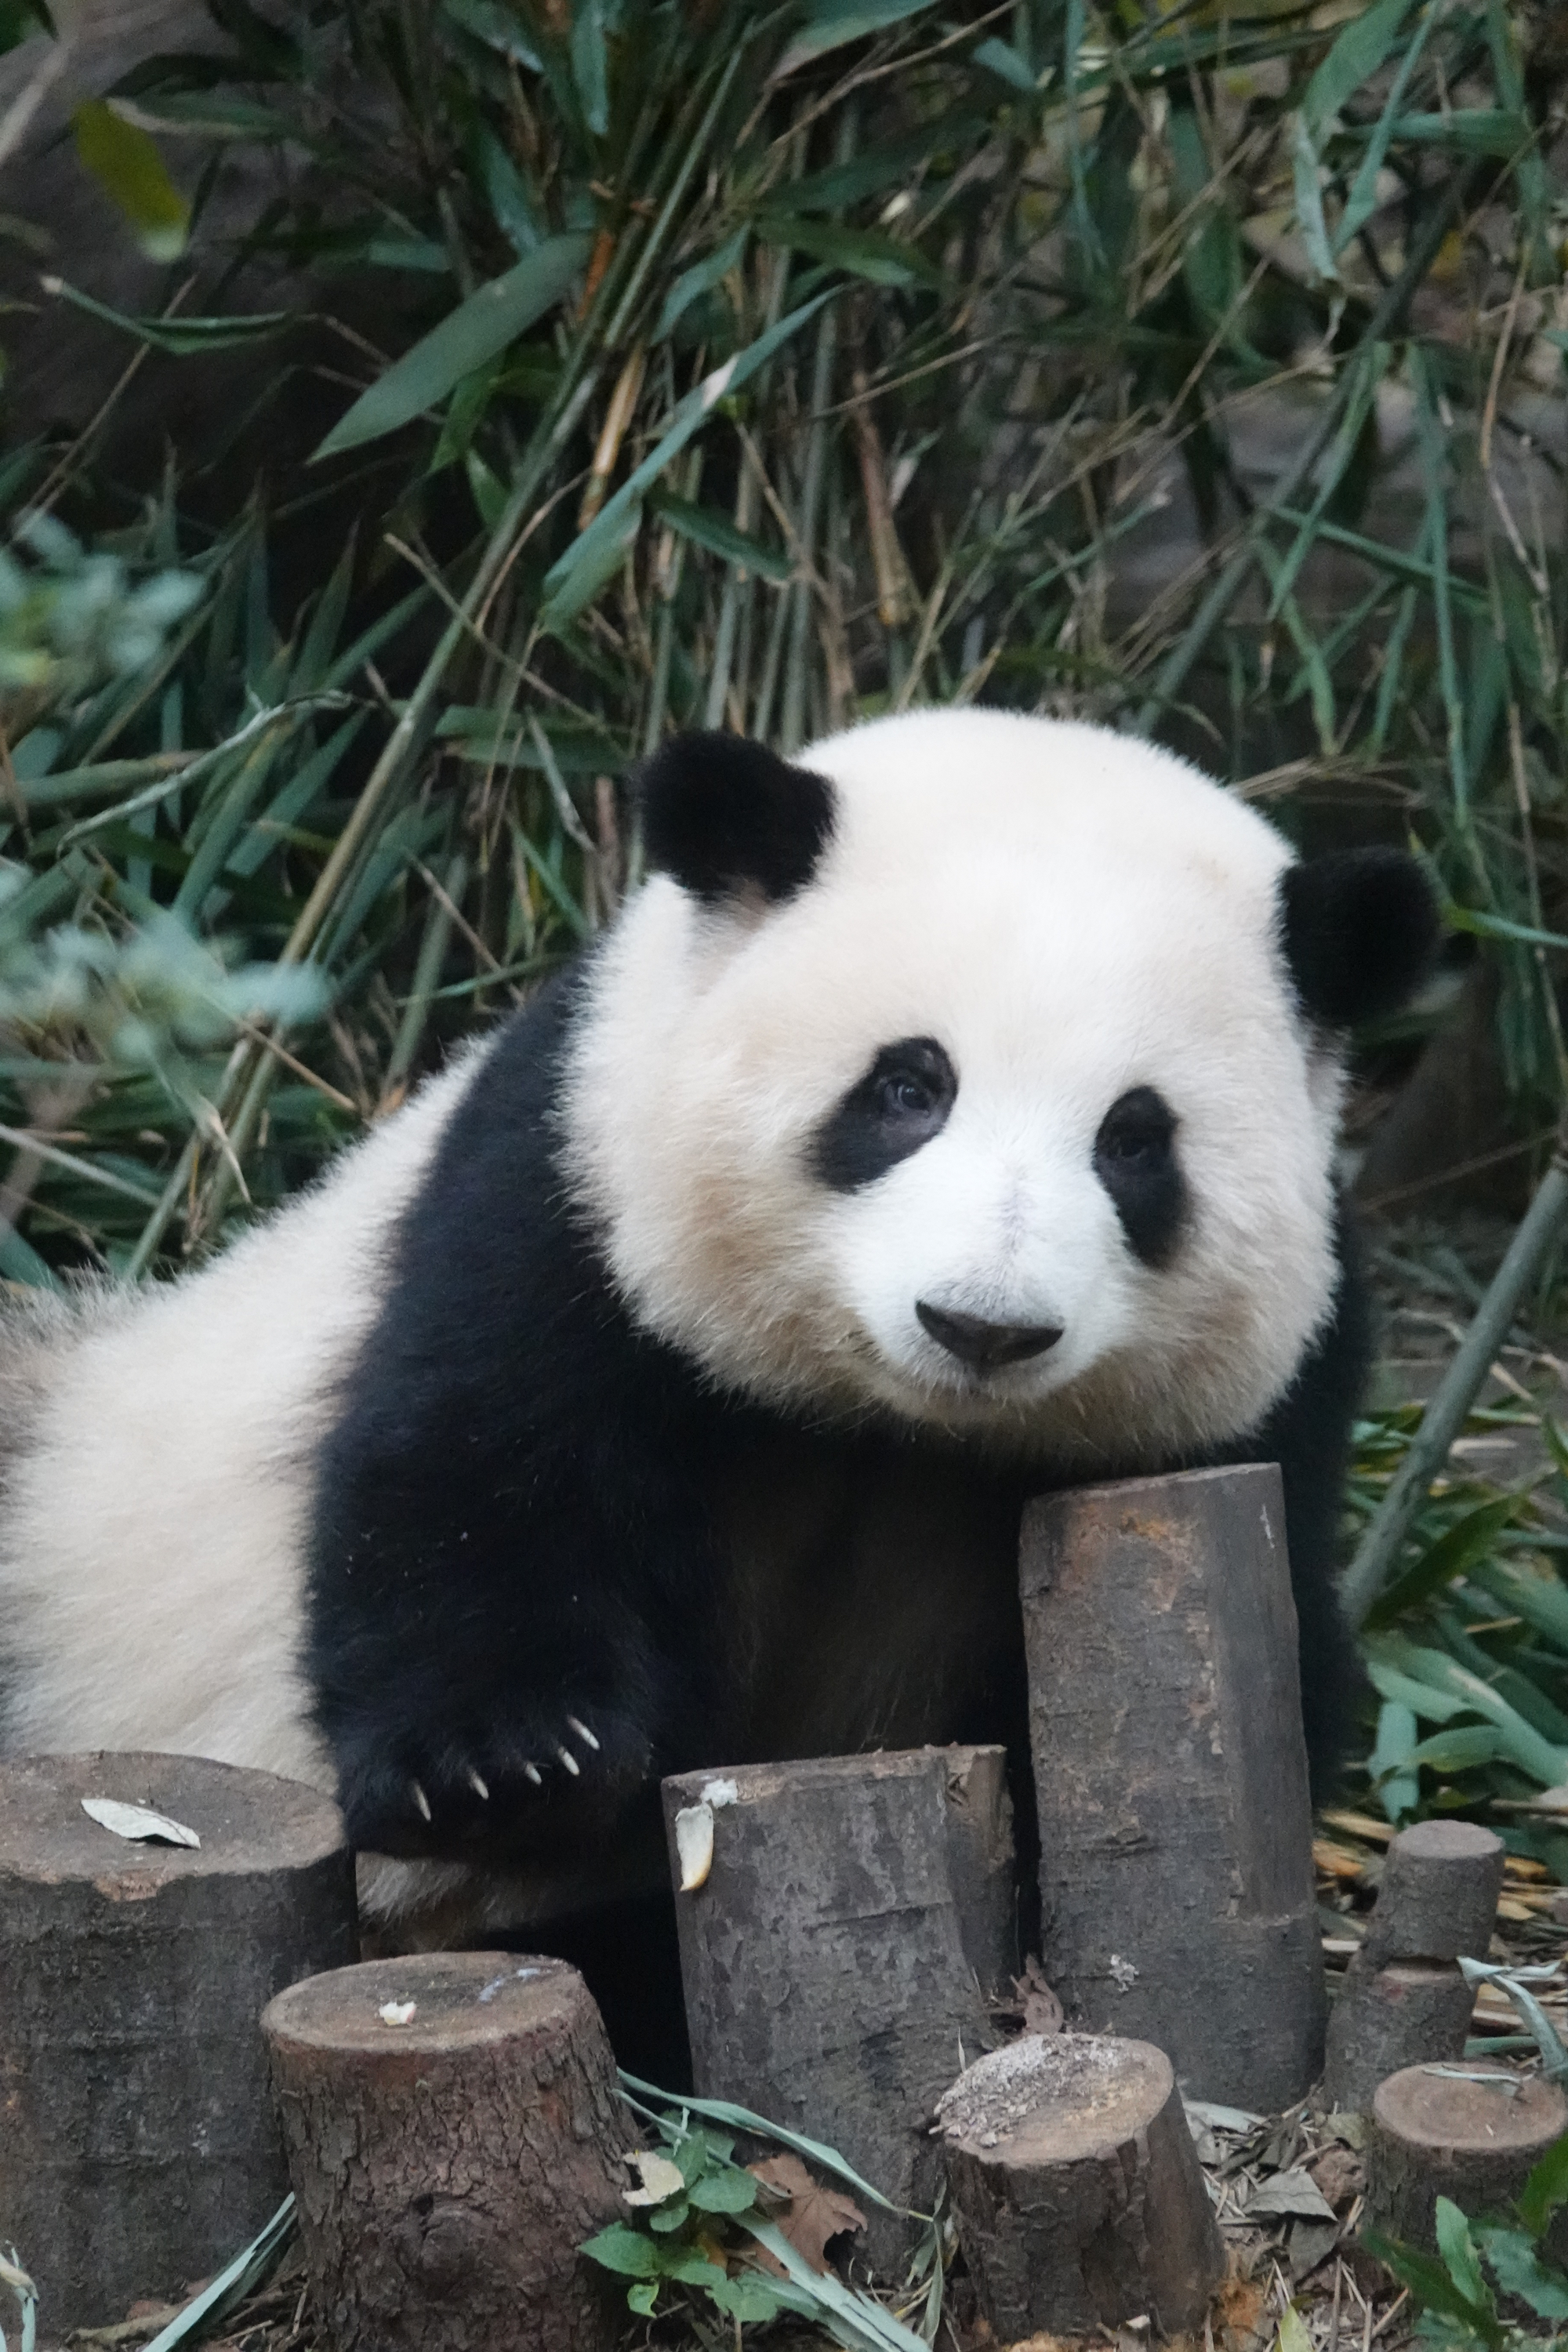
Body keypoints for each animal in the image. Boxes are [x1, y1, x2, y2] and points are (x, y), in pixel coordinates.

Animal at [0, 715, 1439, 1985]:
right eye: (908, 1088)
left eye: (1136, 1140)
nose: (980, 1323)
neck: (891, 1427)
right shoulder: (567, 1194)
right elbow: (472, 1466)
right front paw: (511, 1763)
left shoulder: (1272, 1396)